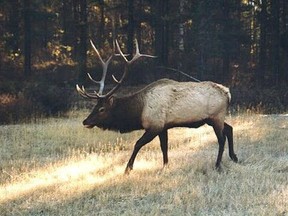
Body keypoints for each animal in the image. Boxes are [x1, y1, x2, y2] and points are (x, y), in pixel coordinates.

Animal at [75, 38, 237, 174]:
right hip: (213, 119)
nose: (85, 121)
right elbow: (164, 147)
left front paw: (128, 168)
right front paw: (165, 166)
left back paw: (218, 165)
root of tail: (228, 93)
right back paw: (234, 157)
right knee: (229, 128)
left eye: (102, 109)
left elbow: (137, 144)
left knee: (221, 138)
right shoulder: (163, 127)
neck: (139, 111)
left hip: (216, 116)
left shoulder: (155, 125)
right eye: (94, 106)